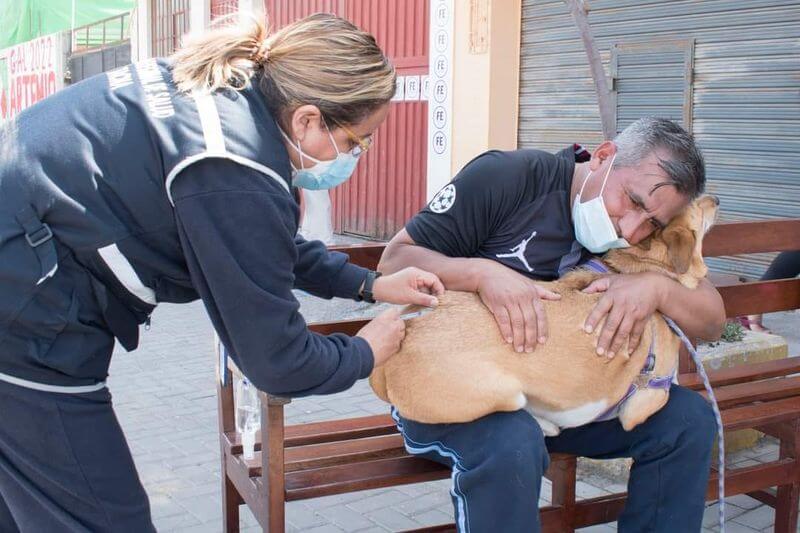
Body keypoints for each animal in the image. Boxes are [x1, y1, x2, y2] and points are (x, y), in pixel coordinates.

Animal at [372, 195, 720, 436]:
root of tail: (405, 329)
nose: (716, 199)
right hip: (503, 391)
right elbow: (662, 393)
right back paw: (546, 425)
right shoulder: (646, 398)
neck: (640, 265)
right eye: (697, 205)